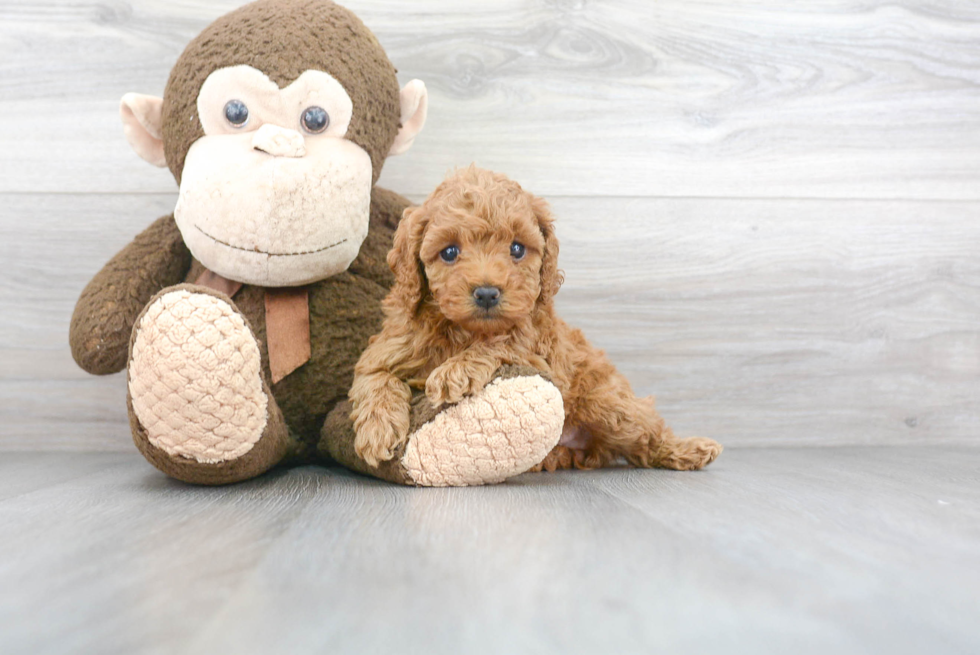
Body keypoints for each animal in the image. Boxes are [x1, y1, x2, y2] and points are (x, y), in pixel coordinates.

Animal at [350, 164, 720, 472]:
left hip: (607, 403)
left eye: (516, 248)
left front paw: (457, 370)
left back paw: (690, 449)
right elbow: (375, 378)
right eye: (450, 252)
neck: (463, 331)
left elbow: (502, 343)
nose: (487, 293)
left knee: (646, 434)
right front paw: (378, 429)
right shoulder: (388, 347)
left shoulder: (541, 355)